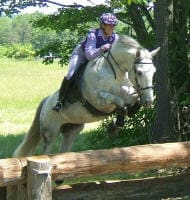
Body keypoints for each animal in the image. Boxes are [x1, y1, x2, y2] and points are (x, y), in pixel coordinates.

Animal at [12, 35, 160, 157]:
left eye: (154, 72)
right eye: (139, 72)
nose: (148, 101)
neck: (115, 73)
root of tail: (45, 102)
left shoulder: (129, 93)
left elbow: (132, 99)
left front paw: (127, 114)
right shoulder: (99, 100)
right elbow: (118, 101)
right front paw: (114, 125)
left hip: (72, 130)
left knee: (63, 151)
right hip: (50, 131)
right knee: (47, 151)